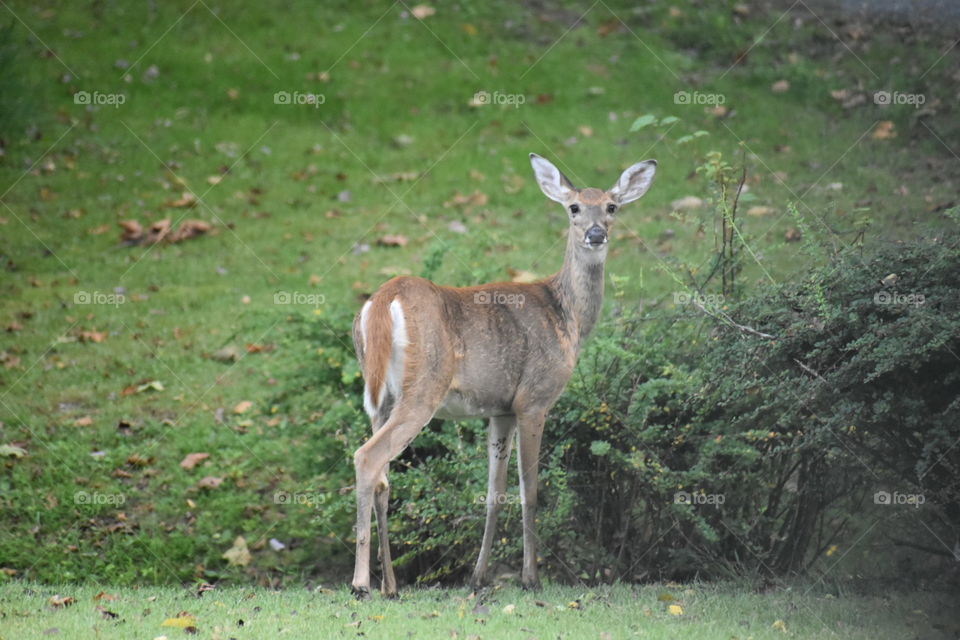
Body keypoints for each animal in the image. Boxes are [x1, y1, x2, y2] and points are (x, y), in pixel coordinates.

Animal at [350, 153, 657, 598]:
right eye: (574, 207)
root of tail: (382, 300)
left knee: (383, 478)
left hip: (380, 396)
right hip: (423, 387)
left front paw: (478, 578)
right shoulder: (534, 399)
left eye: (612, 207)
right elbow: (530, 491)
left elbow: (494, 492)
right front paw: (532, 578)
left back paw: (390, 585)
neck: (567, 317)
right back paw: (359, 583)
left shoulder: (500, 409)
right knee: (368, 457)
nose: (596, 234)